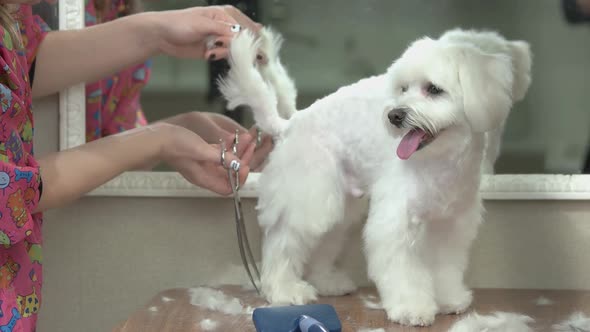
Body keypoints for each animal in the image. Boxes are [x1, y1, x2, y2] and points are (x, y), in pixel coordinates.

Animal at [219, 26, 532, 326]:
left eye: (433, 89)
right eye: (403, 89)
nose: (395, 115)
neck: (438, 162)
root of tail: (291, 123)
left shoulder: (450, 224)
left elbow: (445, 267)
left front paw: (448, 299)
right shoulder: (395, 223)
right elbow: (402, 270)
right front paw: (411, 308)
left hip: (340, 206)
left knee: (323, 244)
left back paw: (328, 282)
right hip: (310, 198)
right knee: (282, 243)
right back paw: (284, 290)